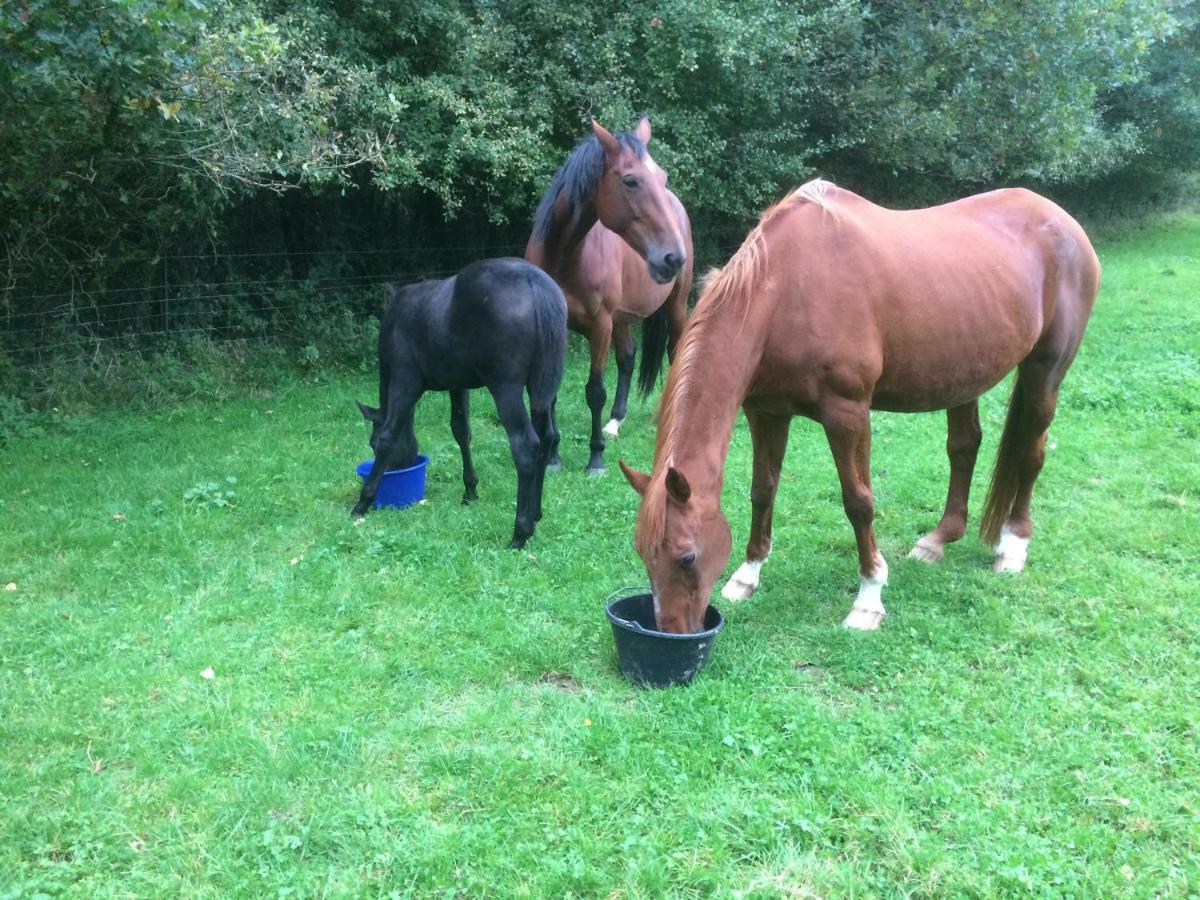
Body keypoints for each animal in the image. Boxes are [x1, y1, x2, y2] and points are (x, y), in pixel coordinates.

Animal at [350, 255, 566, 549]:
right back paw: (535, 514)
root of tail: (534, 281)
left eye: (370, 444)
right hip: (542, 388)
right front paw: (470, 490)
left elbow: (389, 435)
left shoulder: (405, 383)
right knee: (547, 439)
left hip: (506, 388)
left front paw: (363, 502)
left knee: (525, 445)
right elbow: (461, 432)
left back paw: (519, 533)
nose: (396, 472)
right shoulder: (458, 384)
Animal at [528, 118, 696, 480]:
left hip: (674, 306)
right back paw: (615, 422)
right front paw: (553, 456)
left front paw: (596, 459)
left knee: (675, 353)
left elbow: (595, 391)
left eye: (662, 177)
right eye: (630, 181)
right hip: (622, 318)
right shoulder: (556, 329)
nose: (673, 257)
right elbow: (551, 393)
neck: (566, 257)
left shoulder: (599, 326)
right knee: (628, 357)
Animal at [624, 181, 1099, 633]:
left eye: (686, 557)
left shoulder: (847, 416)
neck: (786, 289)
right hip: (964, 377)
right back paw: (938, 539)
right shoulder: (767, 412)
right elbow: (763, 490)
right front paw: (747, 575)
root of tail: (1062, 220)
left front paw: (868, 599)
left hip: (1045, 372)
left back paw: (1013, 545)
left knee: (1031, 451)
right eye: (643, 554)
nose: (674, 631)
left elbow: (859, 503)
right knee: (964, 447)